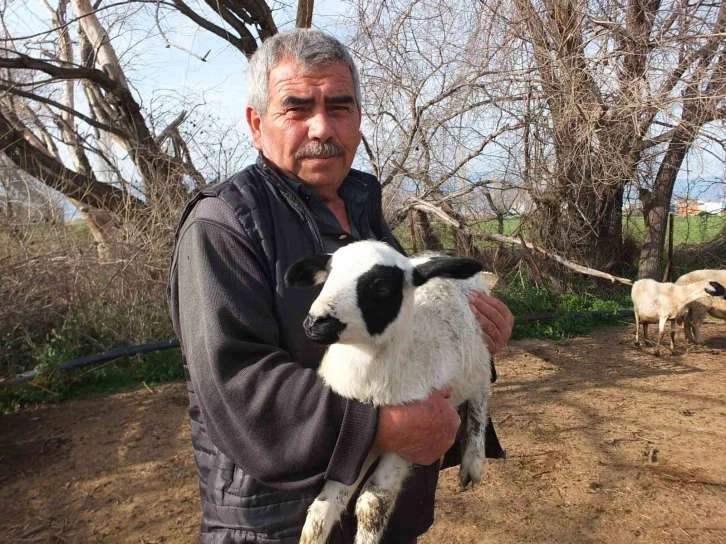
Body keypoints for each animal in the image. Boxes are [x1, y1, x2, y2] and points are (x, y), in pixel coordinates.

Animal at [284, 241, 494, 544]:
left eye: (381, 287)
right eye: (328, 276)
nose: (316, 322)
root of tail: (436, 255)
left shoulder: (416, 434)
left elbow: (373, 503)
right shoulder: (357, 444)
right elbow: (323, 507)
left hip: (479, 356)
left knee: (480, 398)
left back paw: (472, 463)